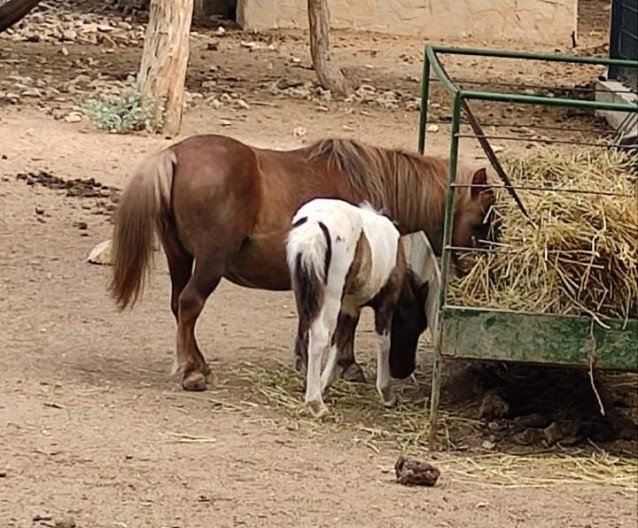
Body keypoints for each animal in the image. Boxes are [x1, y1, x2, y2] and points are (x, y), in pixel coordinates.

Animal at [110, 136, 498, 392]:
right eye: (482, 222)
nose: (486, 272)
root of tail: (175, 154)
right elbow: (346, 321)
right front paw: (347, 365)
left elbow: (307, 316)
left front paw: (303, 359)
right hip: (209, 262)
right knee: (190, 304)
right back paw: (193, 372)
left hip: (179, 257)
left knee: (179, 306)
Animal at [288, 198, 438, 416]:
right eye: (418, 326)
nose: (403, 370)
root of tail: (314, 225)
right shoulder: (386, 303)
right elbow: (383, 343)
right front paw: (387, 393)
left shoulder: (350, 306)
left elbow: (340, 339)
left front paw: (325, 382)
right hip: (330, 295)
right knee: (319, 337)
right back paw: (316, 404)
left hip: (306, 294)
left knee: (306, 333)